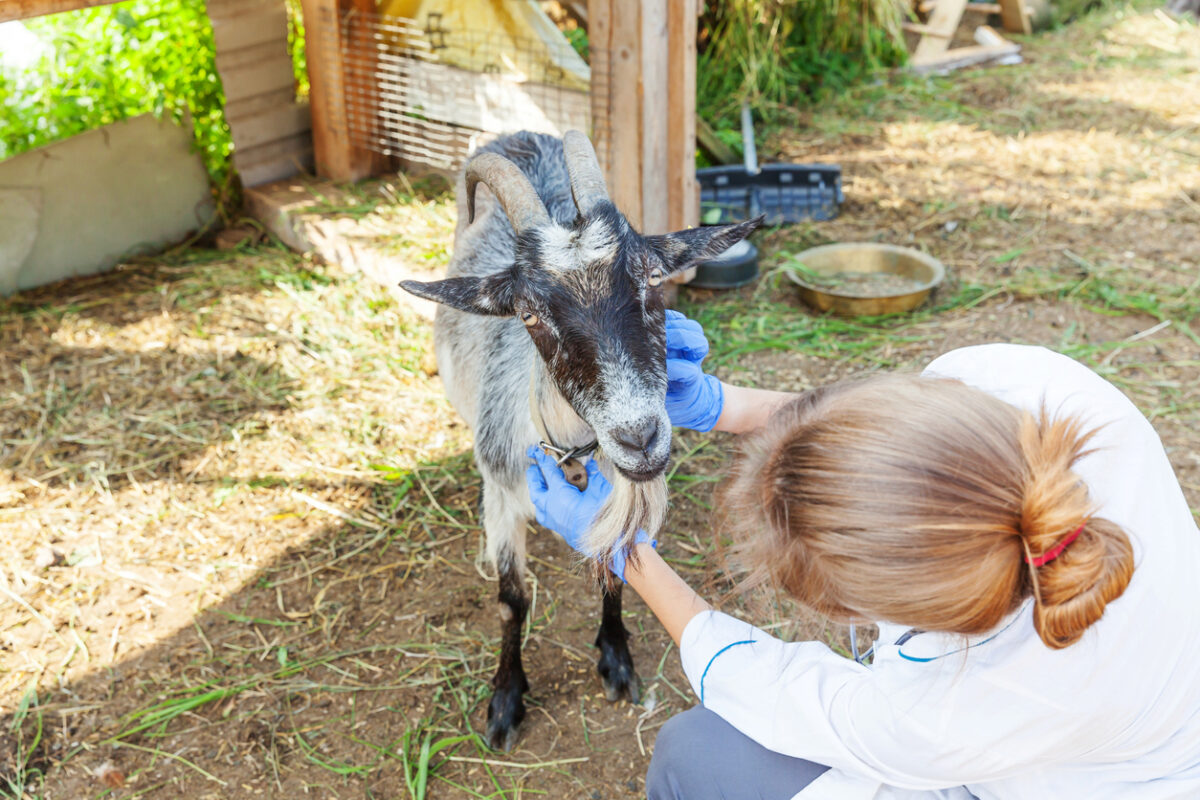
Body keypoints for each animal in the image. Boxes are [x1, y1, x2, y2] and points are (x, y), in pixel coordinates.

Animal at [403, 130, 758, 753]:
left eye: (652, 280)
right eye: (527, 313)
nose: (639, 438)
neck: (568, 449)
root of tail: (520, 134)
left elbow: (615, 570)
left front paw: (615, 660)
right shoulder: (501, 496)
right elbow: (511, 599)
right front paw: (506, 700)